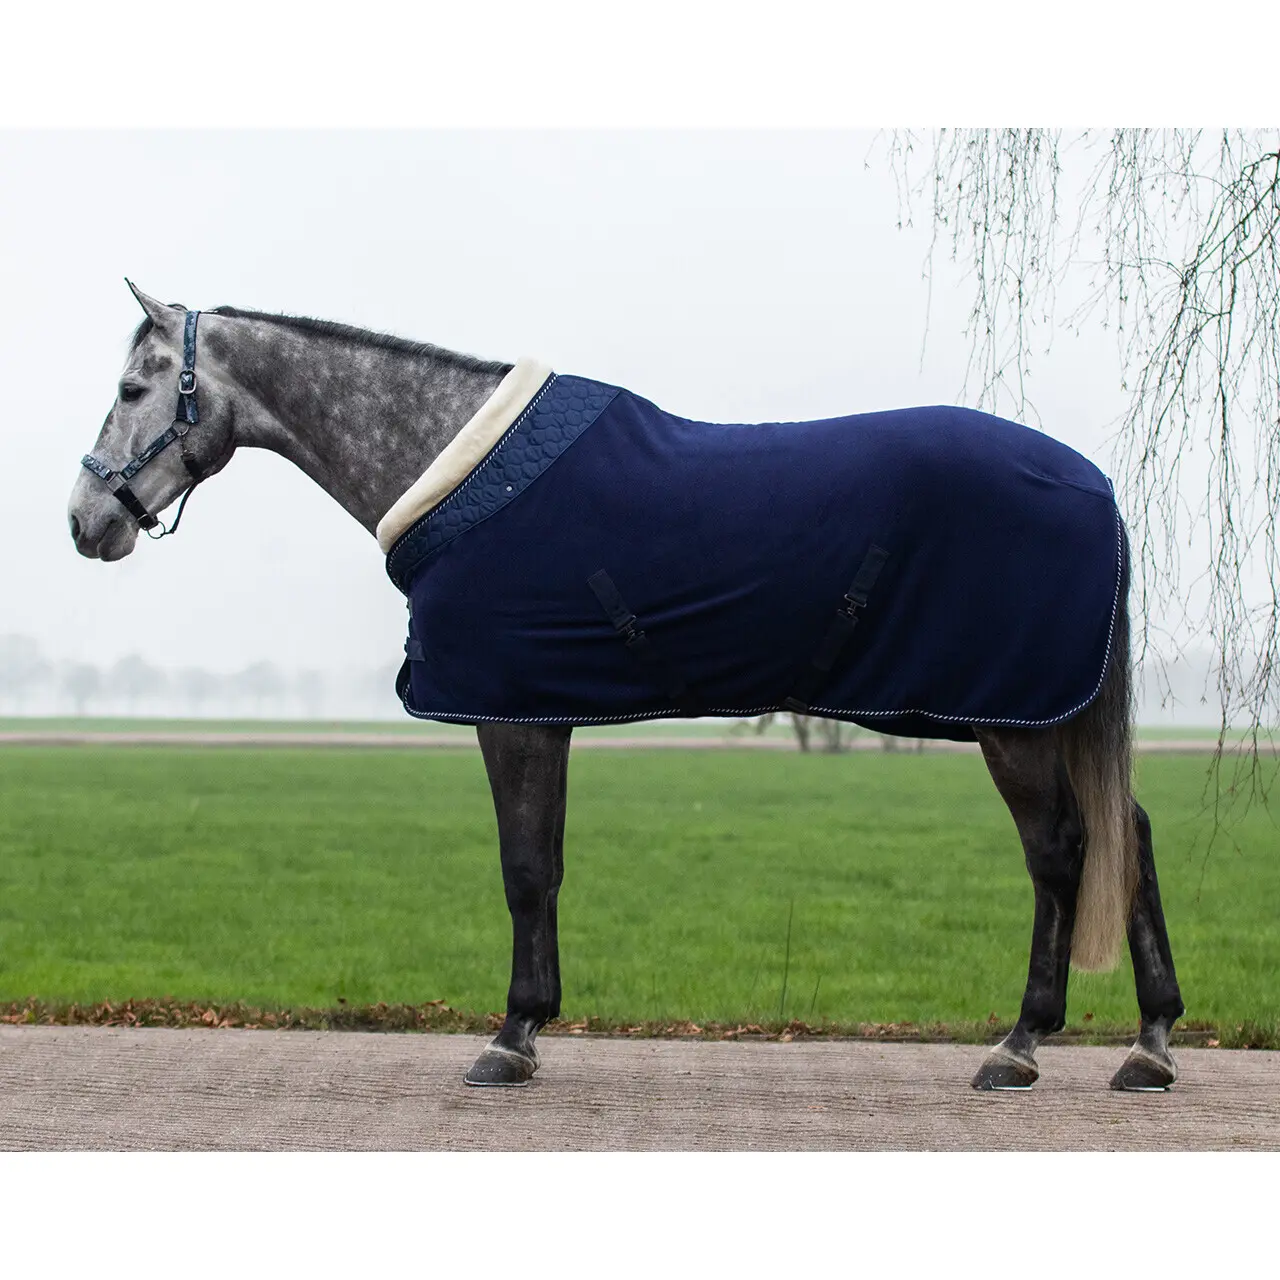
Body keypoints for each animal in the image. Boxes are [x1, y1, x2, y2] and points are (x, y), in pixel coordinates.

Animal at [67, 282, 1184, 1092]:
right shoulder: (540, 712)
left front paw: (509, 1037)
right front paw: (531, 1025)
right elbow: (547, 864)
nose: (86, 520)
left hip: (1015, 720)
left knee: (1061, 851)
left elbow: (523, 868)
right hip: (1043, 711)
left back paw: (1020, 1044)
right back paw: (1149, 1044)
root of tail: (1096, 485)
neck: (459, 467)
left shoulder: (508, 712)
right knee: (1124, 831)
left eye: (133, 388)